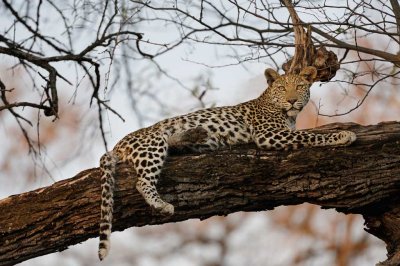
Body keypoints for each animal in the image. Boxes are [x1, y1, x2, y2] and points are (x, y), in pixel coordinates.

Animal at [97, 66, 356, 260]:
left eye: (300, 87)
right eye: (282, 88)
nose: (292, 101)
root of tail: (118, 144)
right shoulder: (270, 135)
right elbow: (311, 135)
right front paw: (343, 135)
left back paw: (194, 135)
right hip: (152, 144)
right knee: (142, 182)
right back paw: (163, 205)